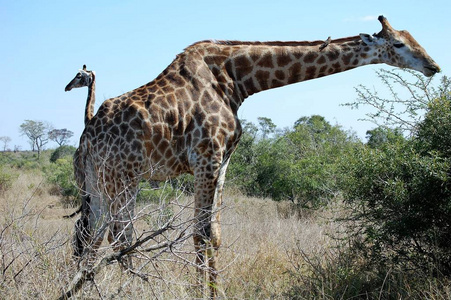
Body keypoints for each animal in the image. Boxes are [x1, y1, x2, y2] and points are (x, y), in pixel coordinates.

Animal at [73, 15, 442, 296]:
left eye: (413, 38)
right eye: (398, 44)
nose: (433, 65)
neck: (238, 80)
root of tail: (86, 138)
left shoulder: (223, 161)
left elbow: (214, 234)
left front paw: (217, 292)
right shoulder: (206, 156)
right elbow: (200, 234)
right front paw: (200, 292)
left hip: (98, 181)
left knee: (91, 235)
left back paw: (86, 287)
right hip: (122, 177)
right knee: (119, 236)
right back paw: (140, 288)